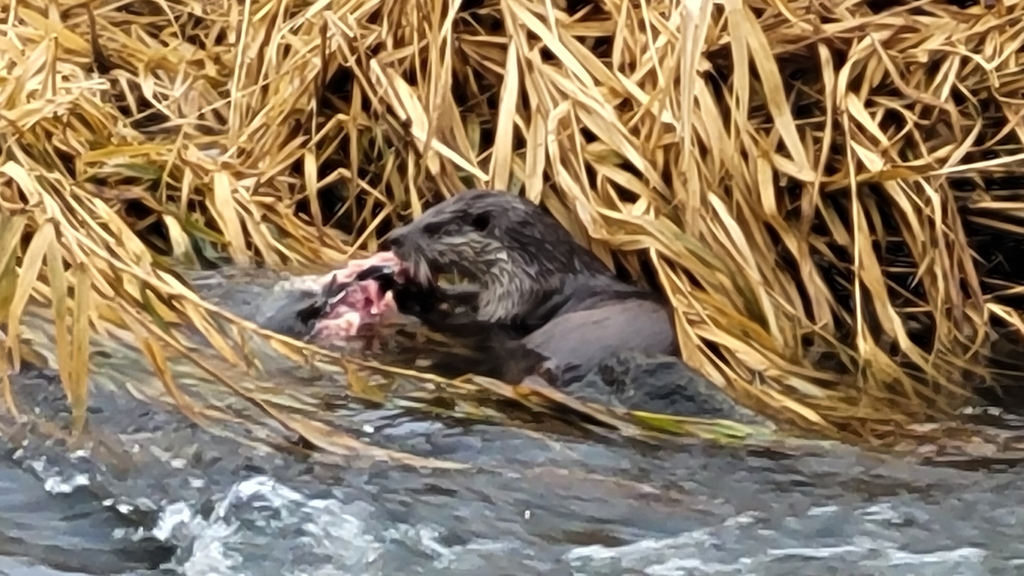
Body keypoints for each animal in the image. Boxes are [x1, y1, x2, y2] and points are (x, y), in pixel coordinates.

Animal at [382, 188, 679, 385]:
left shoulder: (515, 300)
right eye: (425, 212)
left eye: (432, 228)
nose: (392, 237)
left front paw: (412, 292)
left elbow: (471, 325)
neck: (532, 271)